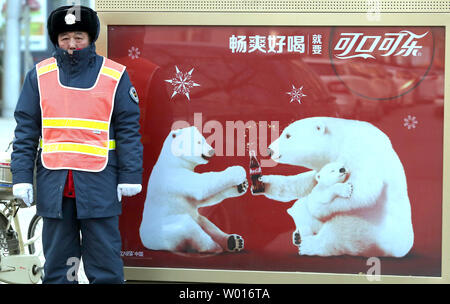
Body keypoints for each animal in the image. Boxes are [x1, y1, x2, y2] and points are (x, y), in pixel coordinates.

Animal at [140, 126, 246, 254]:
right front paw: (238, 170)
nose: (212, 151)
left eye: (204, 139)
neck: (172, 160)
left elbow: (200, 199)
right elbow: (200, 187)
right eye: (199, 142)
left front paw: (241, 186)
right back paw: (214, 247)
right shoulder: (173, 176)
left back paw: (234, 241)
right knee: (188, 225)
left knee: (205, 223)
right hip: (165, 230)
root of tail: (145, 241)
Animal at [262, 116, 414, 256]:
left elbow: (364, 189)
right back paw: (298, 235)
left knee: (341, 233)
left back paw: (309, 244)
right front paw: (264, 182)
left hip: (373, 229)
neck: (341, 139)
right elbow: (307, 183)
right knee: (299, 211)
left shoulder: (362, 151)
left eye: (288, 135)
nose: (270, 150)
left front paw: (318, 207)